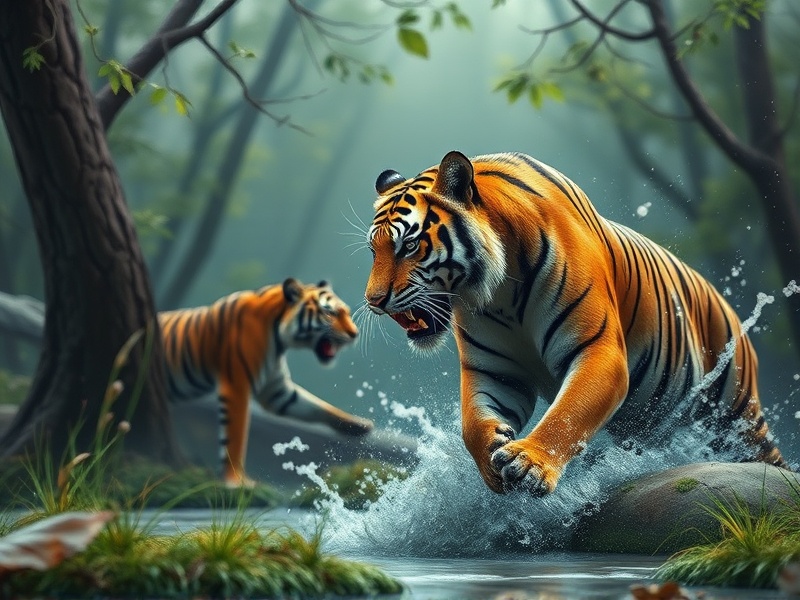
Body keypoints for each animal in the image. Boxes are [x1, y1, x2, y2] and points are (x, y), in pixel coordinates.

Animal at [160, 278, 372, 487]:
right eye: (330, 312)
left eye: (346, 312)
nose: (355, 334)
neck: (278, 339)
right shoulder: (237, 387)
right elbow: (235, 438)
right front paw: (236, 481)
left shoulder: (277, 390)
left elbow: (318, 406)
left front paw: (360, 425)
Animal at [363, 150, 789, 497]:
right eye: (374, 249)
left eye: (409, 245)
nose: (373, 301)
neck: (500, 294)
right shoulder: (495, 371)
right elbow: (471, 423)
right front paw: (491, 457)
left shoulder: (598, 349)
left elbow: (569, 413)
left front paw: (529, 464)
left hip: (736, 412)